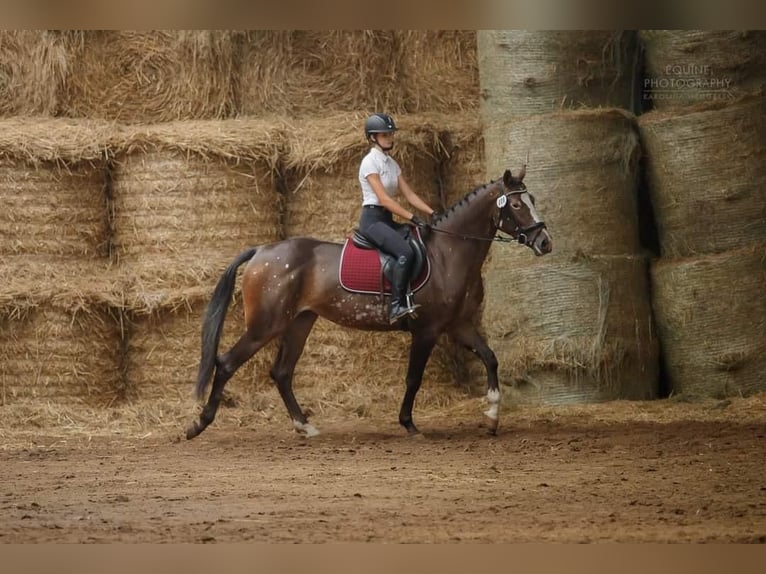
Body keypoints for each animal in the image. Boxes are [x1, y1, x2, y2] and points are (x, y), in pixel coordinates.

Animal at [186, 166, 552, 440]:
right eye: (517, 206)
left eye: (532, 199)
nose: (545, 243)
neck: (448, 253)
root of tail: (262, 250)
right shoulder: (427, 330)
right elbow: (413, 378)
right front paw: (409, 424)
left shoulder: (457, 325)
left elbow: (490, 359)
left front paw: (491, 416)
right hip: (266, 324)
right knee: (226, 363)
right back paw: (199, 424)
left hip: (299, 322)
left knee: (282, 372)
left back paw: (305, 427)